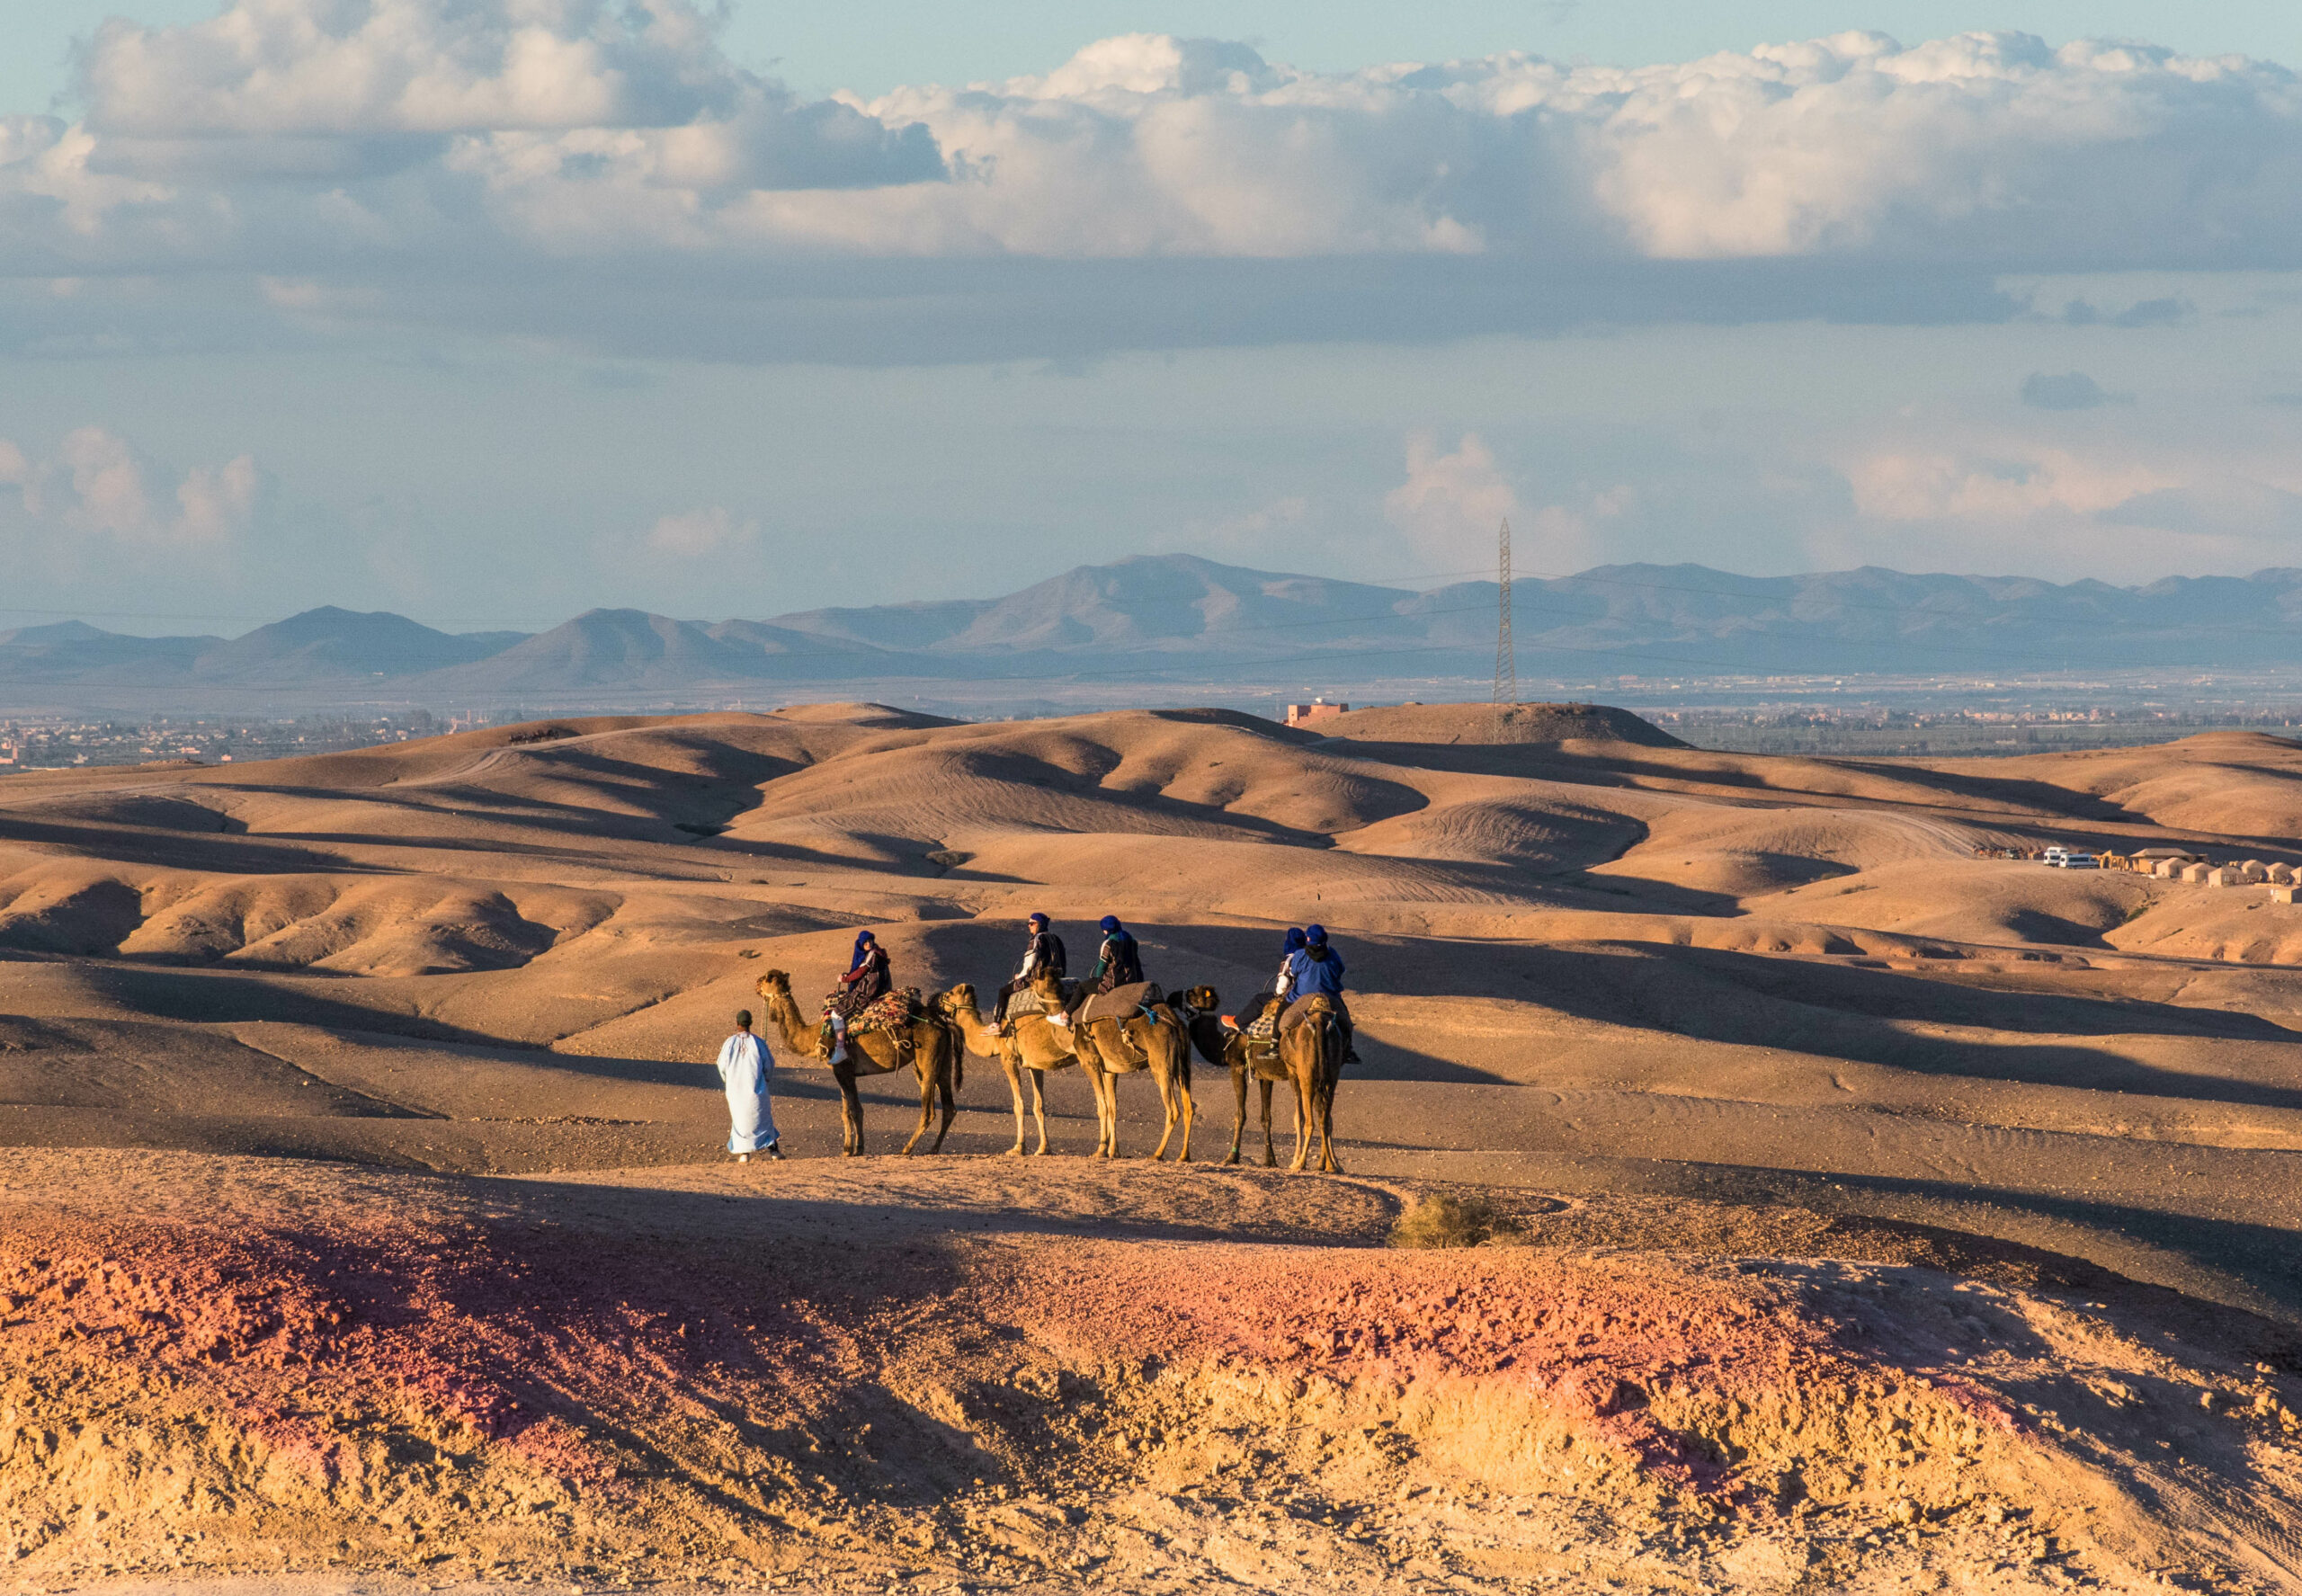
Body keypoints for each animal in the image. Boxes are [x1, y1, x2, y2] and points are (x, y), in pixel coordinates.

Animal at [754, 962, 962, 1151]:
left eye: (768, 978)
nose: (756, 984)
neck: (813, 1036)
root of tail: (942, 1022)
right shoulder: (842, 1071)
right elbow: (846, 1112)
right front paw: (847, 1149)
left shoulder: (843, 1067)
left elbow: (856, 1110)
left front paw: (858, 1149)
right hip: (943, 1060)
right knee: (949, 1107)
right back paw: (933, 1150)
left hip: (927, 1058)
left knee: (929, 1110)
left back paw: (906, 1149)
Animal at [930, 976, 1082, 1151]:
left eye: (949, 994)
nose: (933, 999)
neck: (994, 1038)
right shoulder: (1034, 1063)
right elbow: (1039, 1106)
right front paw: (1043, 1149)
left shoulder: (1008, 1058)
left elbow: (1018, 1105)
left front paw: (1018, 1148)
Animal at [1067, 985, 1197, 1155]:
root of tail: (1175, 1022)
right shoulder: (1109, 1069)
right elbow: (1112, 1107)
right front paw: (1113, 1151)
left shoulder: (1090, 1062)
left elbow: (1102, 1107)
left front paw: (1101, 1149)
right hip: (1183, 1063)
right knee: (1189, 1107)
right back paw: (1183, 1156)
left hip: (1160, 1064)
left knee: (1173, 1110)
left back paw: (1157, 1154)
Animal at [1169, 985, 1298, 1170]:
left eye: (1192, 994)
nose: (1172, 997)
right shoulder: (1264, 1074)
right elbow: (1266, 1118)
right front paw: (1270, 1160)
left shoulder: (1237, 1066)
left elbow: (1240, 1114)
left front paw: (1231, 1157)